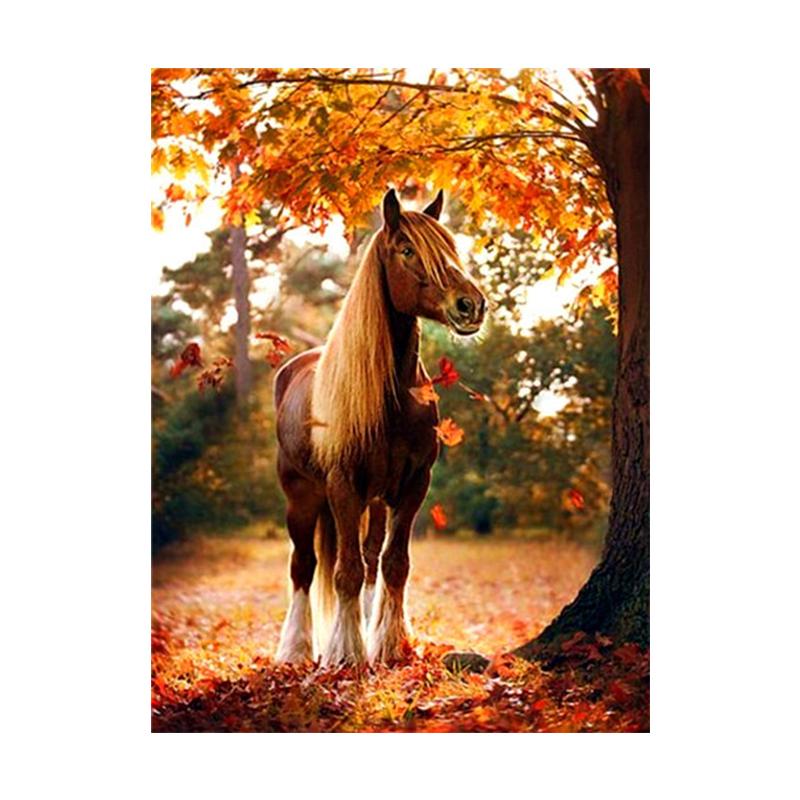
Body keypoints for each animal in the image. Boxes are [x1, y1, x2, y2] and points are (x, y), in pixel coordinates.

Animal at [273, 188, 487, 666]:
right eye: (407, 250)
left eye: (450, 247)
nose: (471, 305)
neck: (393, 399)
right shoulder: (343, 485)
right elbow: (345, 571)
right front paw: (346, 654)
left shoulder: (412, 485)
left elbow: (393, 564)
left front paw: (387, 644)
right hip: (302, 496)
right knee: (303, 567)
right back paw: (295, 649)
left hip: (373, 500)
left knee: (371, 559)